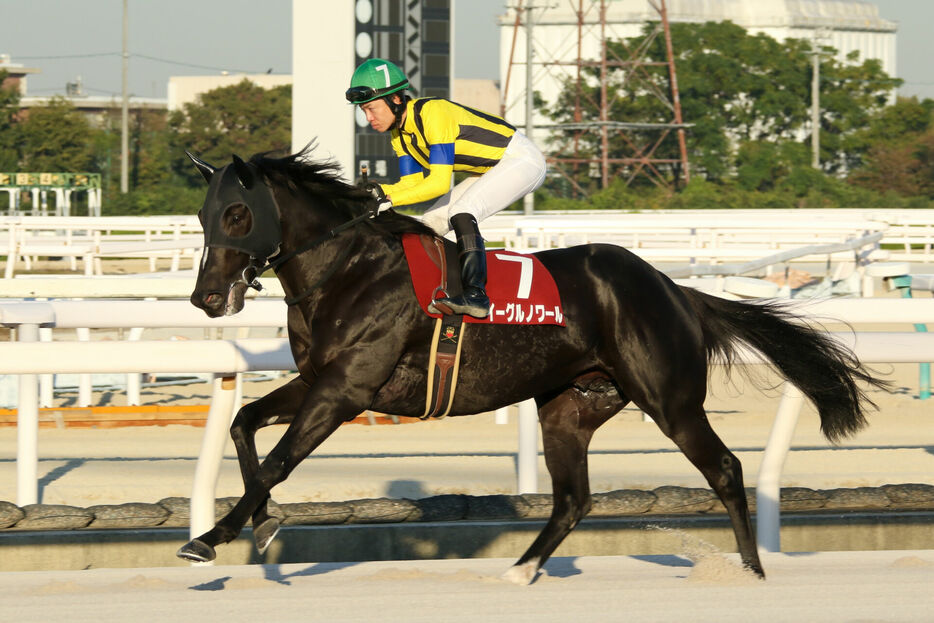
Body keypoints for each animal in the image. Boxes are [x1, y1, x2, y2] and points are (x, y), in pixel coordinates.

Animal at [179, 150, 888, 584]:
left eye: (238, 213)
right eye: (202, 215)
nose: (207, 299)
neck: (349, 269)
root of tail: (674, 290)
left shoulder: (347, 388)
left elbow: (277, 459)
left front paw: (212, 537)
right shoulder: (320, 380)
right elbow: (243, 425)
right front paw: (263, 524)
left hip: (670, 399)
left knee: (725, 469)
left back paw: (750, 572)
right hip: (570, 407)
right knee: (574, 498)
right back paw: (520, 570)